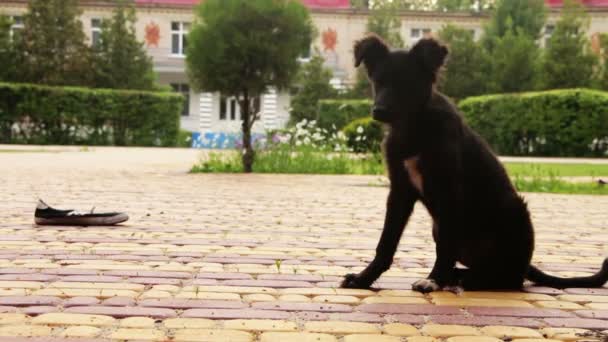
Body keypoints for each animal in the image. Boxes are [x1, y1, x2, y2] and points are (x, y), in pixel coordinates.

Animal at [342, 34, 608, 292]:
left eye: (407, 83)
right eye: (378, 82)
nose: (379, 111)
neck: (414, 127)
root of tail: (524, 264)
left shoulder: (449, 190)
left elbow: (445, 245)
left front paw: (433, 280)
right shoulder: (400, 191)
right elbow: (386, 242)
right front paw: (363, 278)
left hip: (515, 213)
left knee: (511, 278)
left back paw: (471, 280)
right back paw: (460, 276)